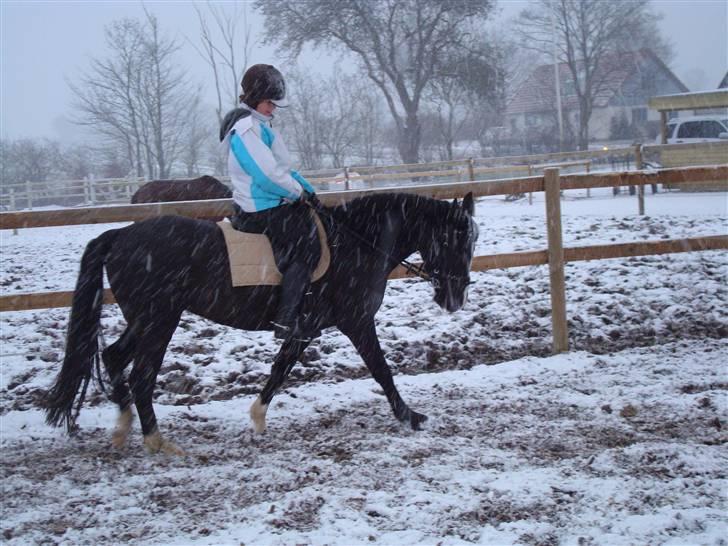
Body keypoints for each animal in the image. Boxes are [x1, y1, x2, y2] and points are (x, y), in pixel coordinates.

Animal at [45, 191, 478, 450]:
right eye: (455, 240)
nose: (455, 298)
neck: (357, 243)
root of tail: (120, 235)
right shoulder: (356, 322)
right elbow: (382, 370)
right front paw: (410, 416)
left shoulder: (306, 329)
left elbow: (281, 368)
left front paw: (257, 417)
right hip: (159, 319)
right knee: (140, 375)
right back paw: (156, 442)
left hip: (143, 318)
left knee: (114, 357)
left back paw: (123, 427)